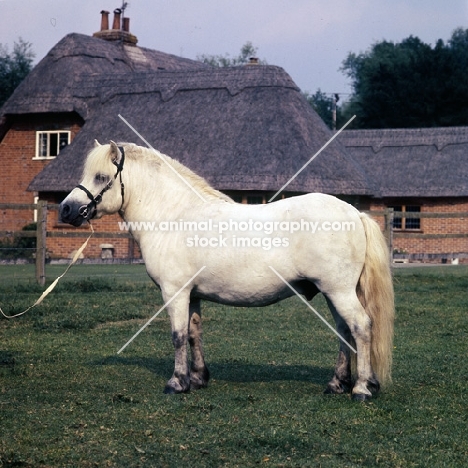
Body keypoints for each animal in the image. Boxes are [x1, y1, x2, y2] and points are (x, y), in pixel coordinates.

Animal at [60, 141, 394, 400]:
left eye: (101, 176)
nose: (66, 209)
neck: (173, 215)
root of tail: (354, 212)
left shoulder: (175, 292)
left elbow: (178, 335)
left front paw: (176, 383)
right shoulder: (192, 294)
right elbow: (194, 333)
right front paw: (197, 378)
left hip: (339, 291)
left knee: (361, 326)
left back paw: (362, 389)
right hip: (334, 292)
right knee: (344, 331)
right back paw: (337, 384)